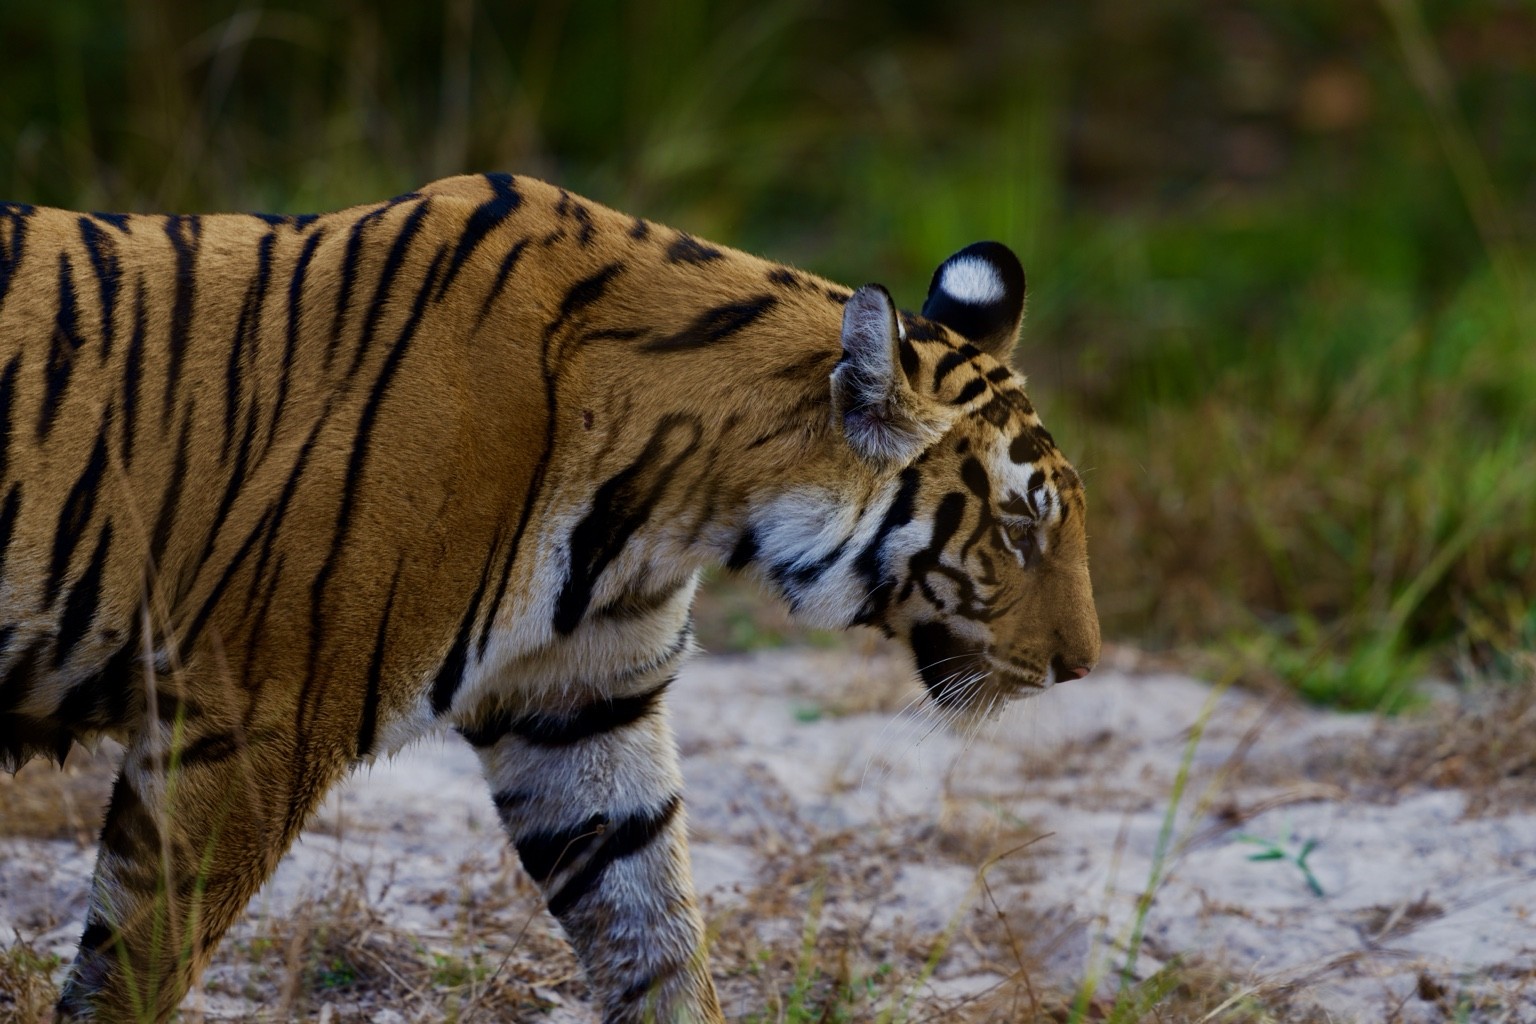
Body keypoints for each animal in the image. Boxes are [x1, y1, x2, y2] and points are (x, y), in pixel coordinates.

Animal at [0, 173, 1100, 1023]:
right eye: (1019, 528)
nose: (1081, 666)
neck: (676, 503)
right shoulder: (250, 721)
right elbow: (135, 967)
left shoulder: (583, 711)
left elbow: (656, 935)